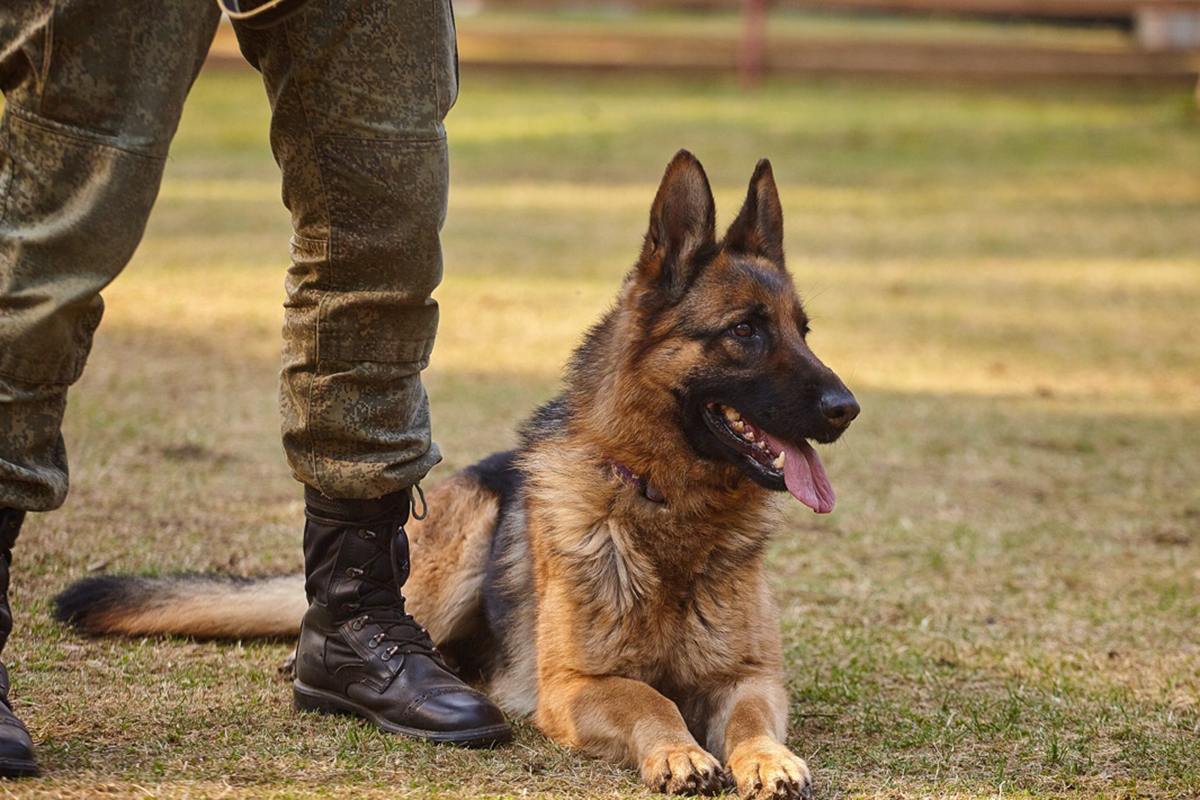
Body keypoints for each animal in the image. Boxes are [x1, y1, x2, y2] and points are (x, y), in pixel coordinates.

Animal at [56, 151, 859, 800]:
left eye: (804, 332)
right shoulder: (575, 687)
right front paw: (678, 752)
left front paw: (768, 759)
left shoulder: (749, 676)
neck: (667, 513)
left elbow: (751, 719)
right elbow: (651, 701)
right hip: (457, 555)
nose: (848, 408)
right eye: (745, 331)